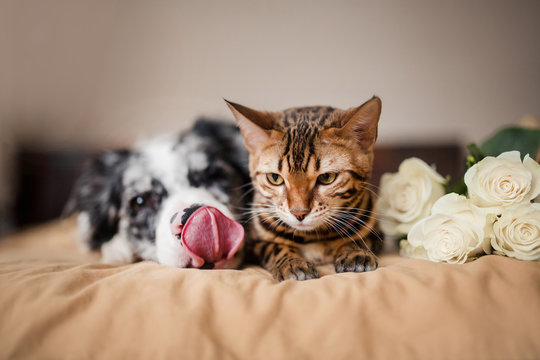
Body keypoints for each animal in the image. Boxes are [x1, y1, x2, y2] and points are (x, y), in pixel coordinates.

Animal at [226, 96, 382, 282]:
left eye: (326, 177)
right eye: (275, 178)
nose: (299, 213)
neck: (312, 236)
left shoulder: (376, 230)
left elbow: (358, 238)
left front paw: (355, 251)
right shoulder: (253, 242)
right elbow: (273, 246)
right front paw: (291, 262)